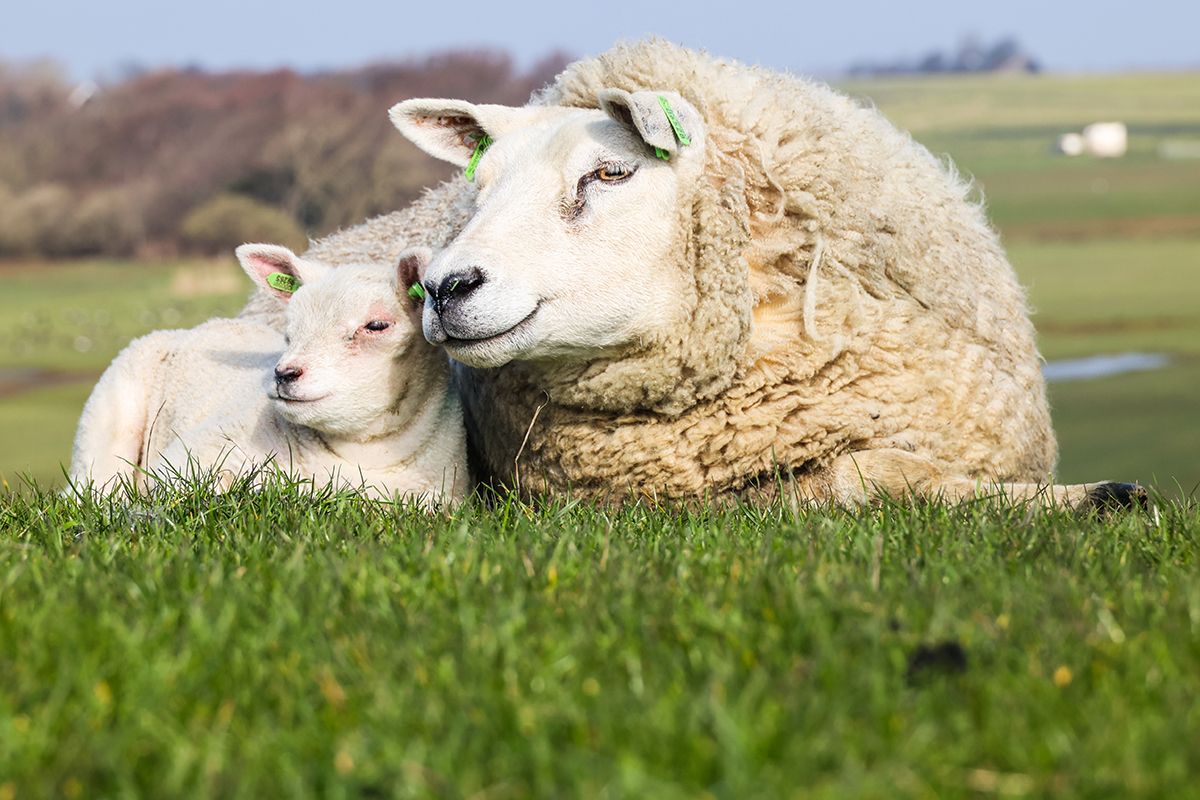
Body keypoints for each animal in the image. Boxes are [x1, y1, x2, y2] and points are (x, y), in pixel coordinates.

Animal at [68, 247, 465, 503]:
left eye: (377, 325)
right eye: (290, 330)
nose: (283, 374)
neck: (363, 457)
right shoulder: (186, 460)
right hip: (104, 426)